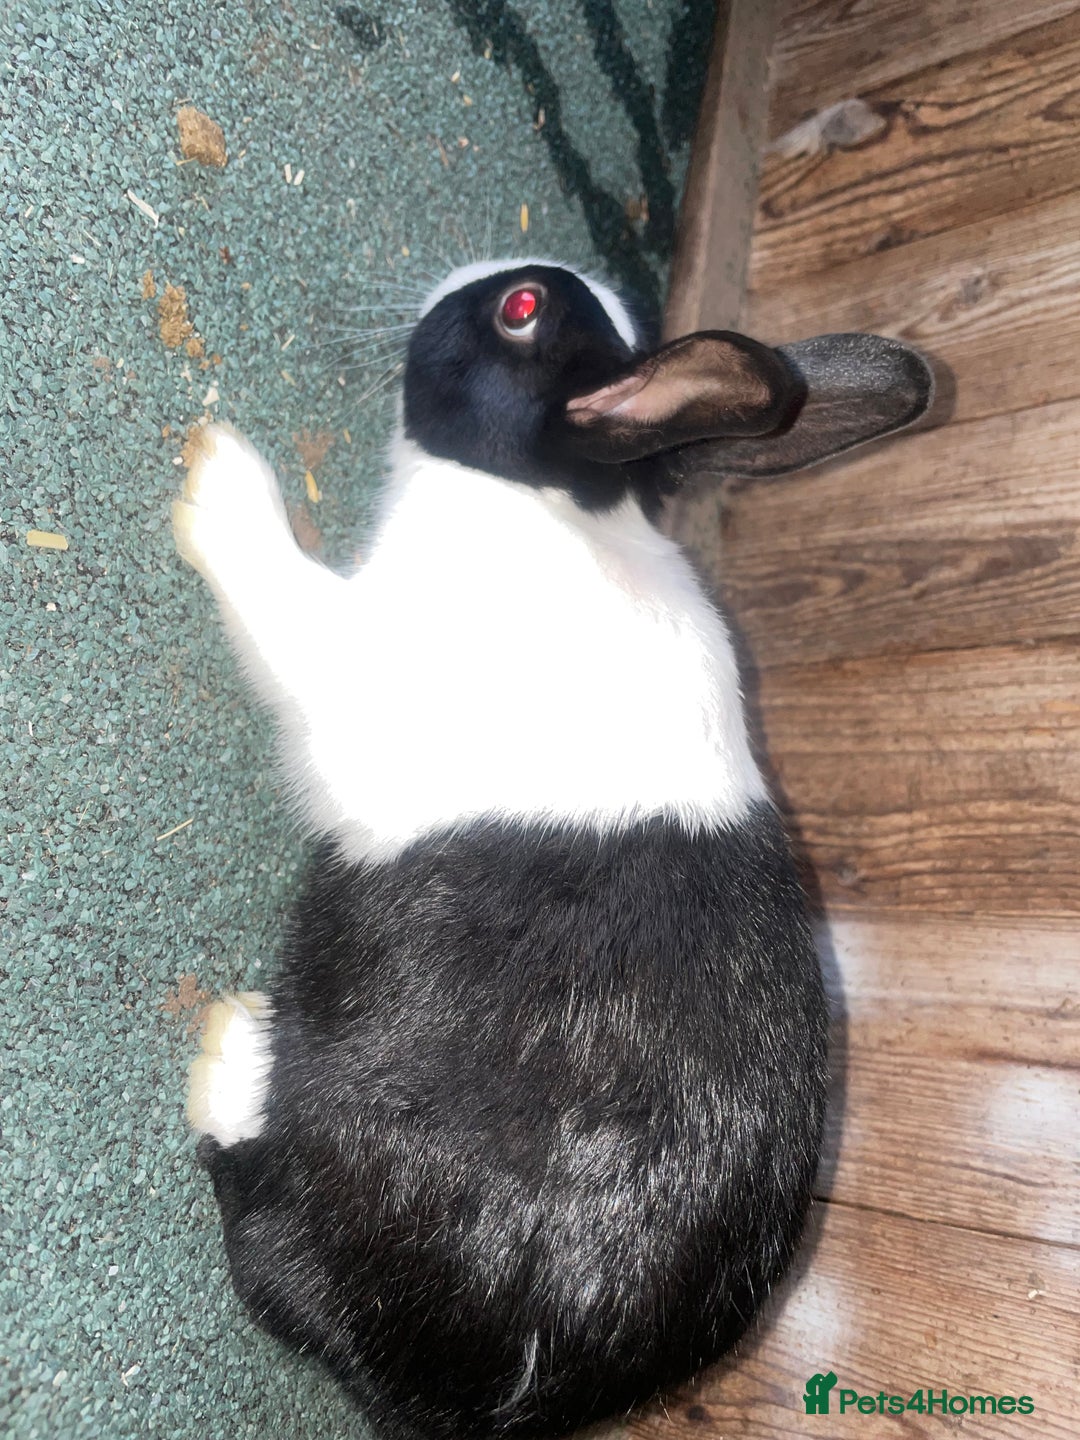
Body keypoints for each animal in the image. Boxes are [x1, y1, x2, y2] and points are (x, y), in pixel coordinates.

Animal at [175, 259, 932, 1440]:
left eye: (521, 312)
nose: (449, 282)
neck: (548, 504)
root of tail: (479, 1399)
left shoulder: (343, 664)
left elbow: (279, 594)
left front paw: (216, 474)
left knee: (257, 1237)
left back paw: (228, 1051)